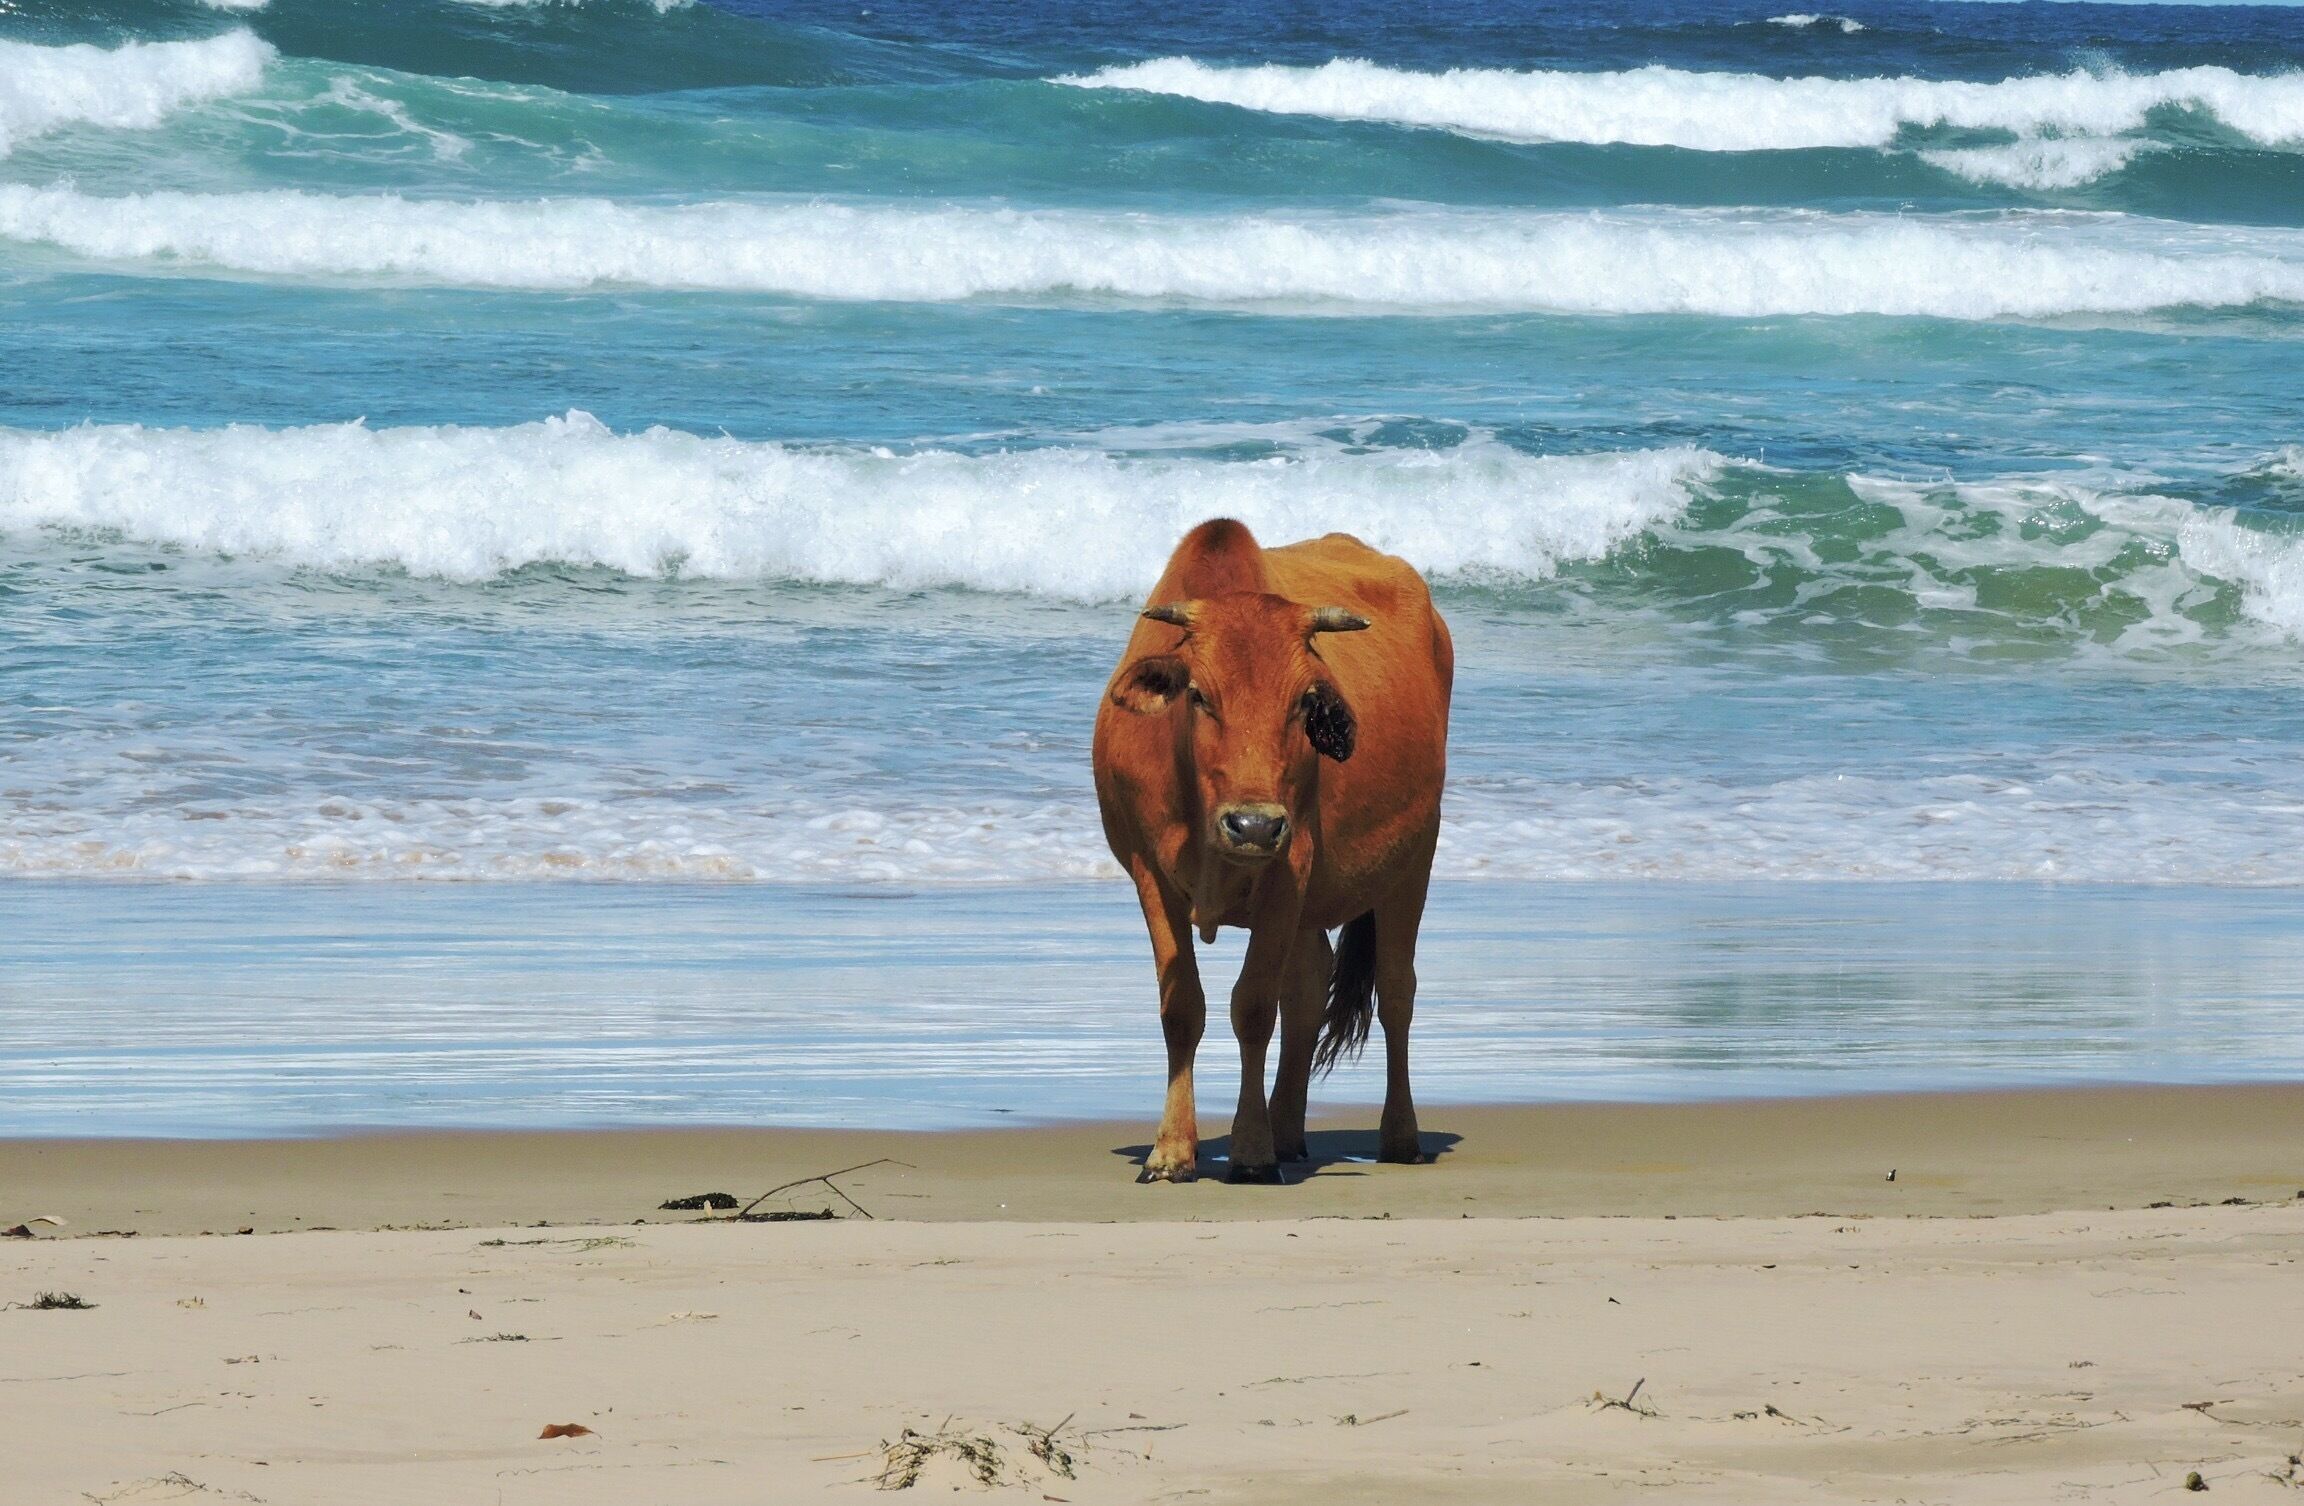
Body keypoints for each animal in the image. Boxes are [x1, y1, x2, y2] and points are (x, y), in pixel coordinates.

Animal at [1092, 518, 1453, 1183]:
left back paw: (1398, 1136)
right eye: (1199, 696)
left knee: (1396, 993)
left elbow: (1254, 1007)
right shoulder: (1149, 874)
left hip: (1414, 860)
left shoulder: (1291, 869)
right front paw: (1173, 1150)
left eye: (1305, 701)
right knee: (1308, 989)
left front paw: (1252, 1151)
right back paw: (1289, 1130)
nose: (1254, 826)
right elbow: (1183, 1007)